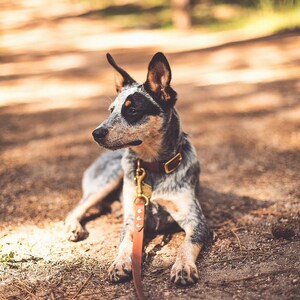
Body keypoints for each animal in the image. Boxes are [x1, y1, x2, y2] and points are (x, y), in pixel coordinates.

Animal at [65, 52, 211, 284]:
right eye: (111, 110)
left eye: (132, 110)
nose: (96, 133)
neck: (154, 168)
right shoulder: (134, 218)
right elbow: (125, 242)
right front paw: (120, 263)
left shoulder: (196, 220)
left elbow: (187, 244)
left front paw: (183, 266)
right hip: (109, 179)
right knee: (77, 208)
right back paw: (74, 227)